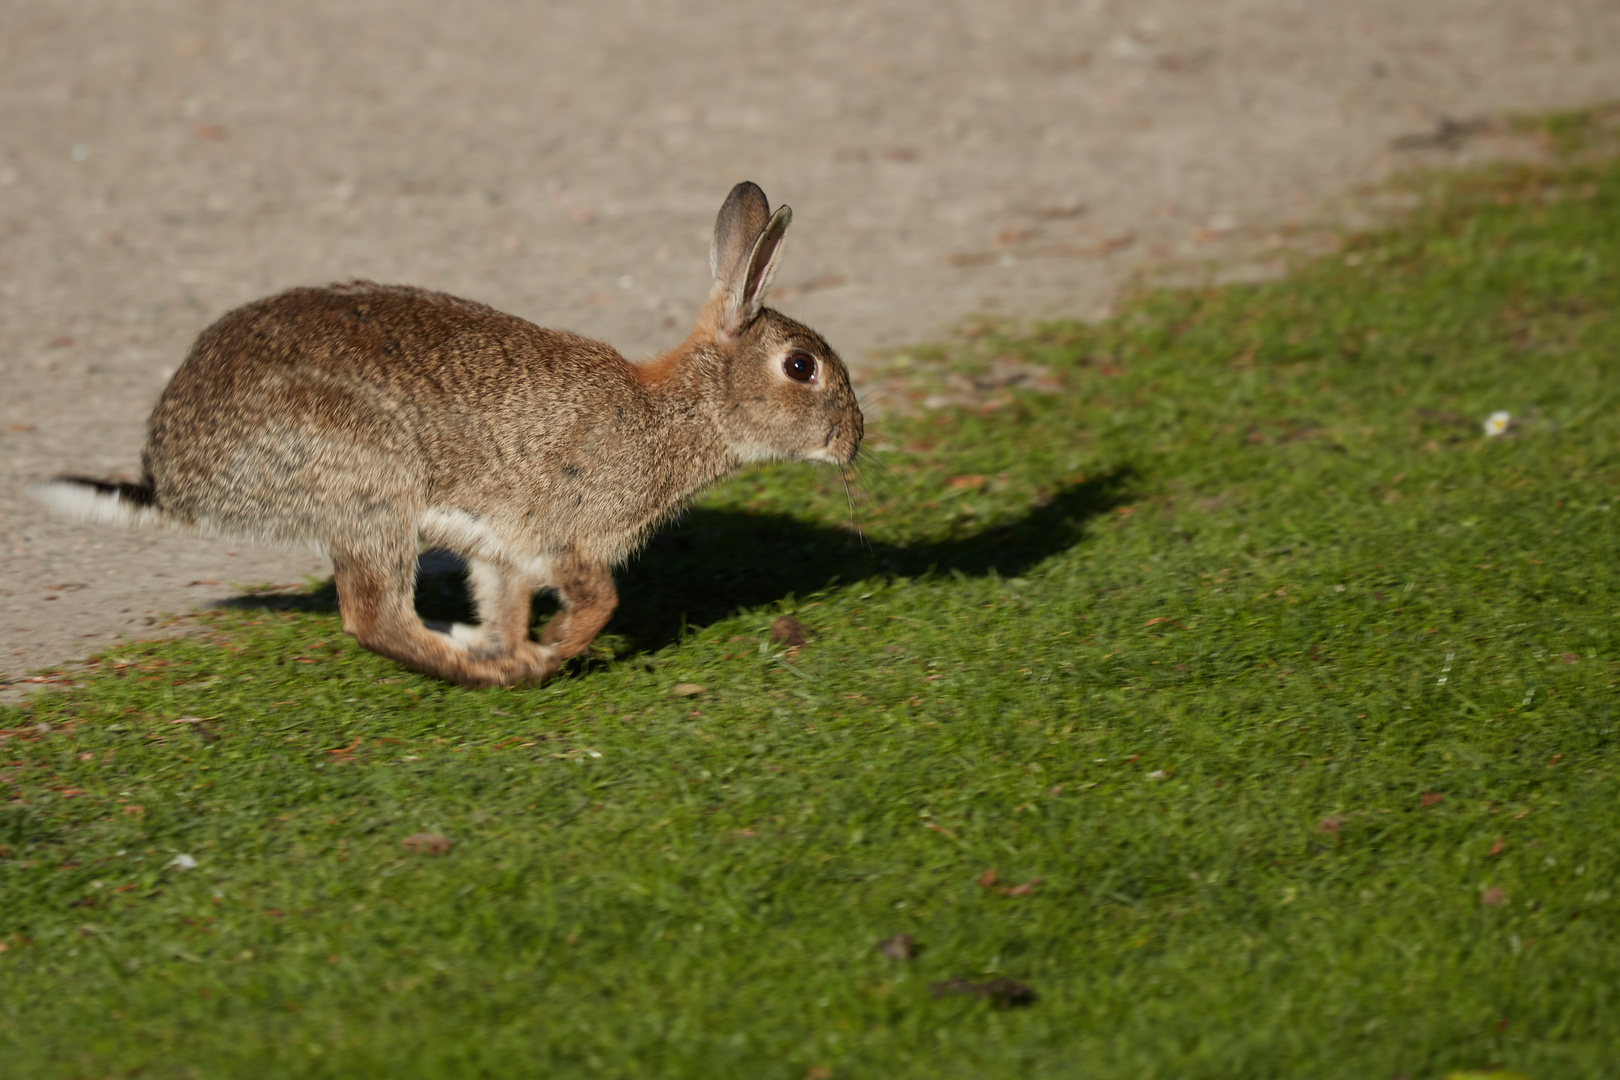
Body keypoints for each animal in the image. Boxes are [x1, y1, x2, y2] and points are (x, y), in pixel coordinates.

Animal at [38, 177, 868, 683]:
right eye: (801, 367)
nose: (854, 438)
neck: (679, 409)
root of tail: (172, 476)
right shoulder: (568, 530)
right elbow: (598, 603)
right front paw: (545, 656)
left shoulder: (503, 552)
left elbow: (503, 602)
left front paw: (512, 644)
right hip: (369, 481)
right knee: (373, 617)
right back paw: (485, 670)